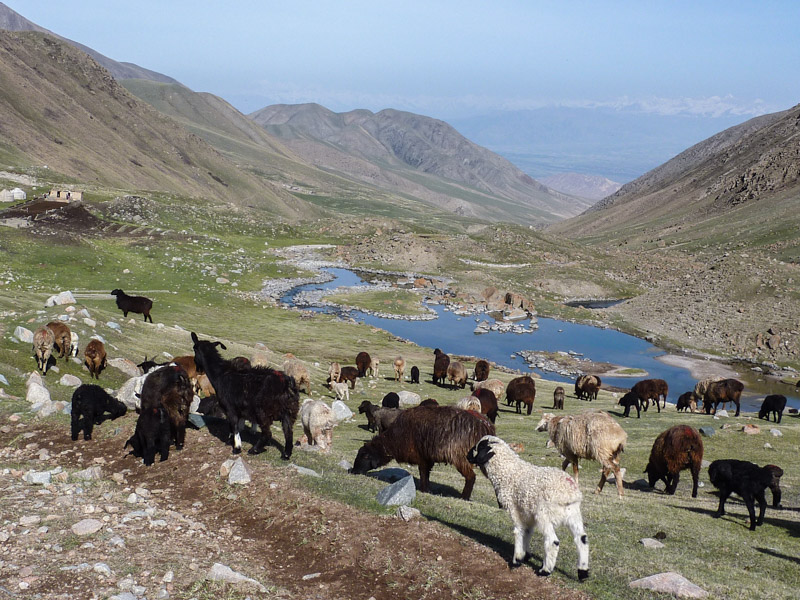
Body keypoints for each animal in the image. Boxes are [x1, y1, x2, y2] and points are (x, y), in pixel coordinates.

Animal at [191, 332, 300, 460]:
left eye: (194, 349)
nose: (198, 369)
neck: (220, 374)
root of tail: (285, 383)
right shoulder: (239, 410)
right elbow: (235, 426)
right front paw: (230, 441)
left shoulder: (230, 408)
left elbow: (234, 426)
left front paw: (237, 448)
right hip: (289, 411)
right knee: (288, 432)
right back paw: (286, 455)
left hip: (263, 412)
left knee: (268, 433)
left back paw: (254, 449)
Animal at [350, 406, 494, 500]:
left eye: (364, 456)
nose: (352, 471)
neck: (394, 439)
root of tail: (484, 425)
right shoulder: (427, 458)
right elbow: (427, 474)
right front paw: (428, 489)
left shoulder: (421, 457)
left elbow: (423, 473)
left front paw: (423, 490)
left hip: (460, 456)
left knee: (471, 477)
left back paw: (464, 497)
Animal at [468, 436, 588, 580]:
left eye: (478, 447)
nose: (467, 455)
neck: (509, 473)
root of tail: (570, 492)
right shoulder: (527, 513)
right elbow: (527, 532)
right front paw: (526, 555)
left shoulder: (515, 510)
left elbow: (519, 531)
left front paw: (517, 560)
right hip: (573, 514)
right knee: (582, 539)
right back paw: (583, 572)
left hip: (544, 515)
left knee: (552, 541)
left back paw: (545, 570)